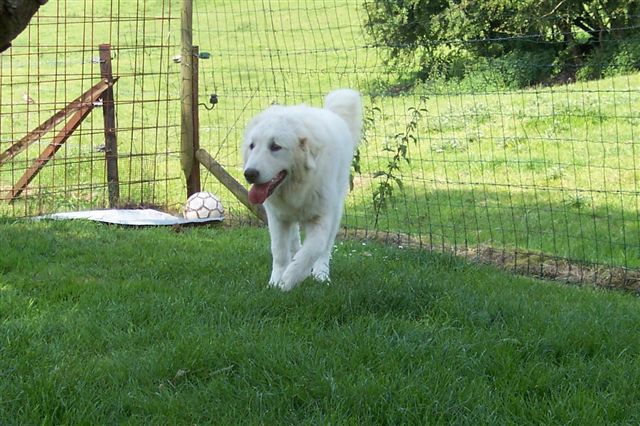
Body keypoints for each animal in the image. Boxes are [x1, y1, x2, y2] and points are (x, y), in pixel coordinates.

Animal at [242, 88, 362, 292]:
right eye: (252, 146)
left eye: (275, 146)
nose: (249, 174)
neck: (296, 186)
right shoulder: (277, 217)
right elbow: (279, 252)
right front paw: (275, 282)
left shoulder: (322, 217)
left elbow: (314, 249)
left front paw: (291, 278)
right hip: (290, 216)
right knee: (294, 240)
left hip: (336, 210)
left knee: (325, 248)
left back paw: (321, 274)